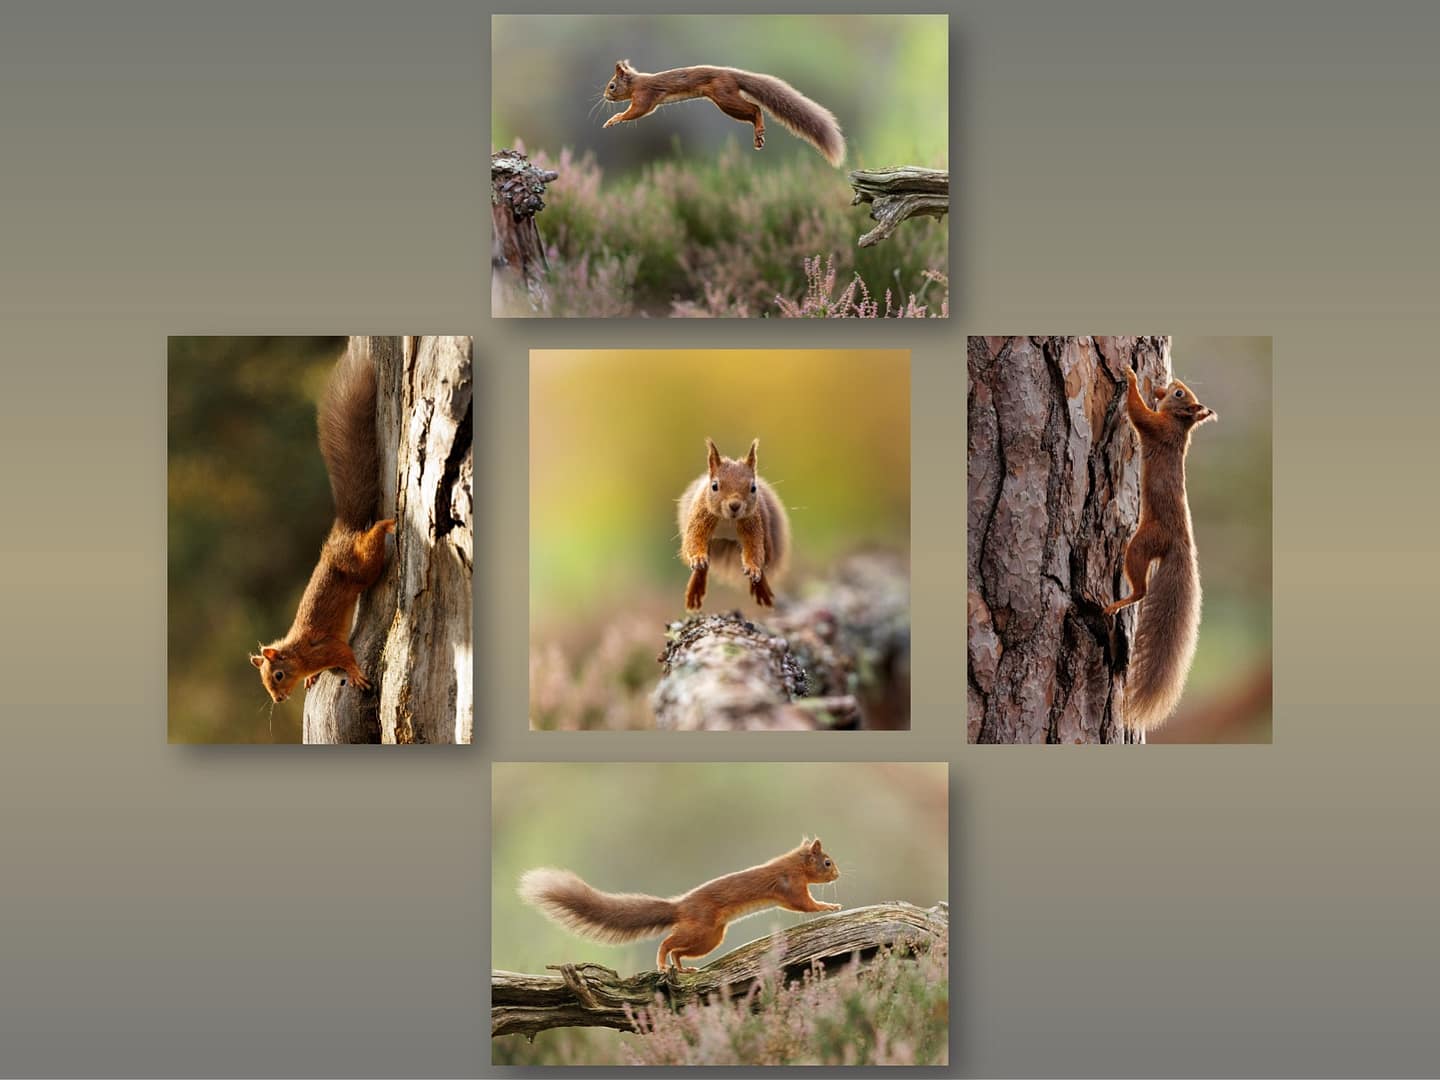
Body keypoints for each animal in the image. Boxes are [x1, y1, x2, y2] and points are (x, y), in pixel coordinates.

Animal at [249, 349, 395, 703]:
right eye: (264, 681)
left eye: (278, 674)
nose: (278, 699)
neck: (299, 653)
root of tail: (340, 533)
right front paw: (312, 680)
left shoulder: (327, 648)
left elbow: (346, 656)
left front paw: (354, 675)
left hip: (360, 567)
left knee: (371, 546)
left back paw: (386, 524)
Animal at [519, 838, 842, 973]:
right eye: (827, 862)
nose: (838, 874)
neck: (794, 864)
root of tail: (680, 907)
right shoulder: (791, 887)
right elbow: (806, 905)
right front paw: (830, 907)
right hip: (700, 929)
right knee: (668, 943)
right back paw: (663, 965)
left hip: (710, 937)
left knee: (679, 950)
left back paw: (683, 970)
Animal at [602, 60, 845, 167]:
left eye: (612, 86)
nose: (604, 96)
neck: (636, 82)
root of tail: (732, 74)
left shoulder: (645, 97)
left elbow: (637, 111)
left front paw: (614, 119)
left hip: (725, 98)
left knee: (755, 108)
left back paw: (759, 130)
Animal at [677, 438, 789, 612]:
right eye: (714, 486)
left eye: (753, 488)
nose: (735, 505)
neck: (727, 520)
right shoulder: (701, 516)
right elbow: (694, 539)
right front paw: (698, 558)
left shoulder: (752, 523)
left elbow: (754, 548)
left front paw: (753, 568)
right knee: (703, 566)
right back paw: (695, 589)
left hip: (767, 537)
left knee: (763, 559)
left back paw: (761, 589)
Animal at [1104, 366, 1217, 731]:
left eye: (1180, 395)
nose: (1175, 383)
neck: (1180, 428)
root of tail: (1181, 544)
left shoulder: (1155, 427)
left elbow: (1138, 413)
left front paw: (1131, 377)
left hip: (1141, 544)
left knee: (1140, 589)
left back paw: (1118, 603)